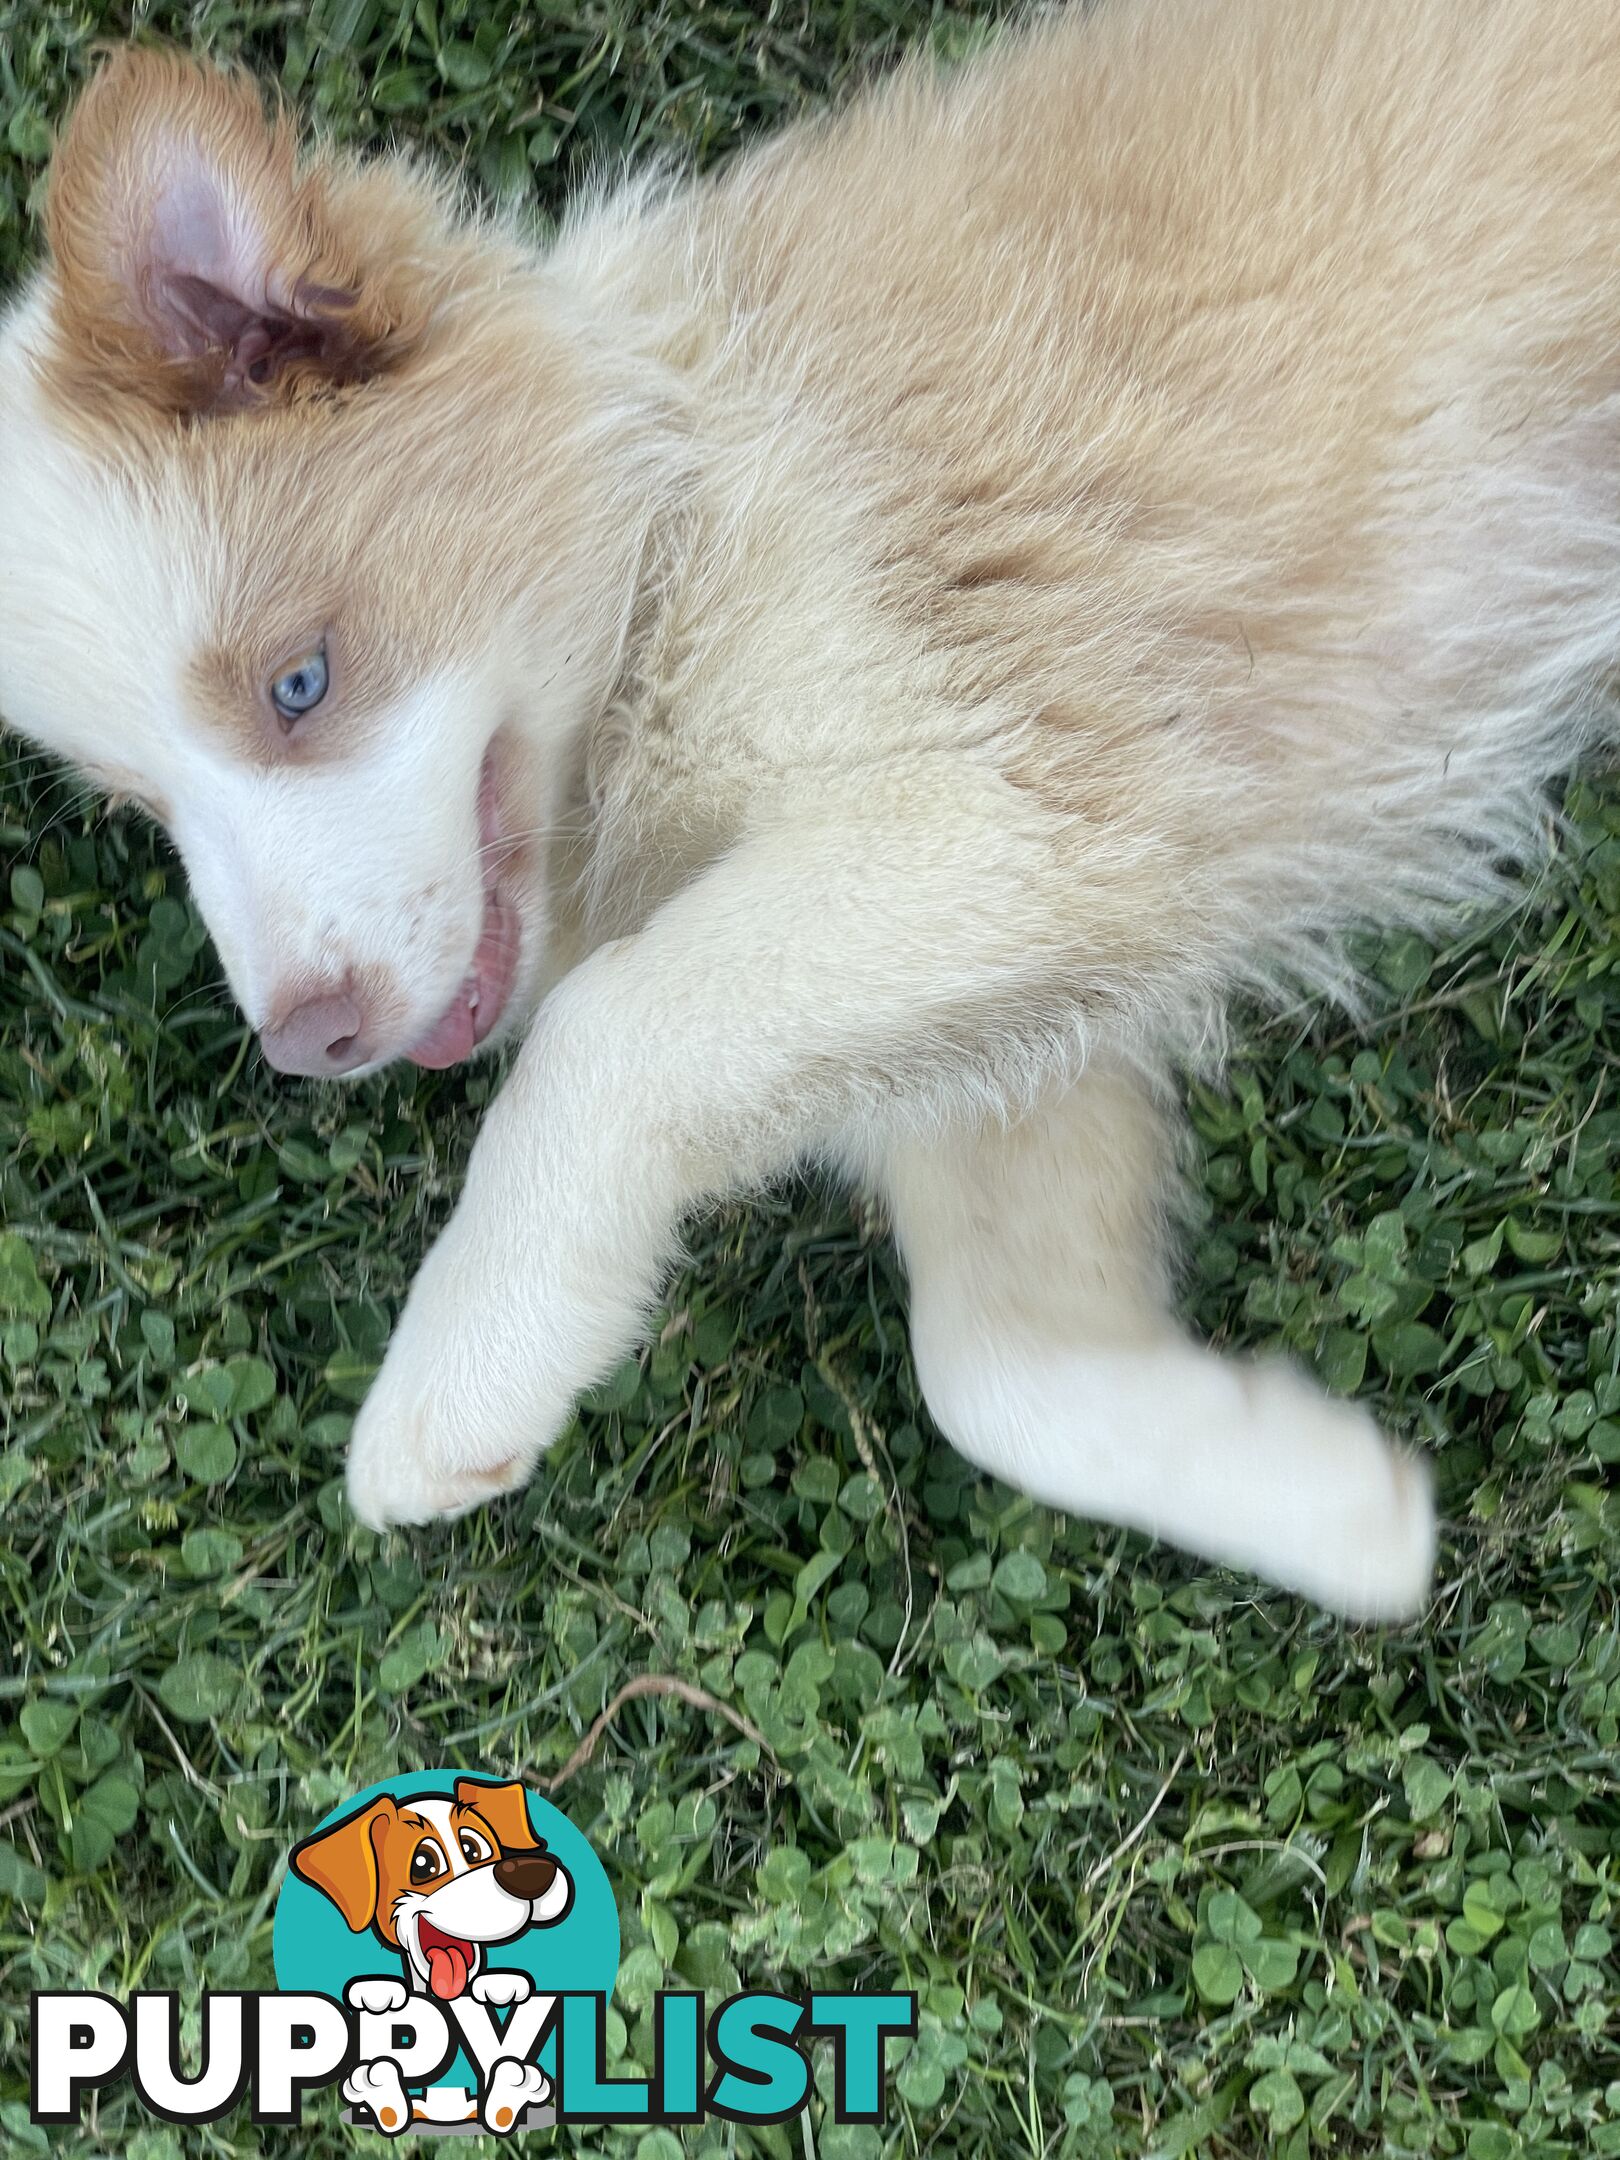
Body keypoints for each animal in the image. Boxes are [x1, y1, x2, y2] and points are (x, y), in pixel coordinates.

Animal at [3, 4, 1620, 1624]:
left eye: (298, 682)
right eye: (146, 806)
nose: (309, 1044)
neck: (676, 504)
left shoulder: (1007, 805)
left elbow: (603, 1036)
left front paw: (459, 1377)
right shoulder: (1013, 996)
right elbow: (993, 1368)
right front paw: (1343, 1510)